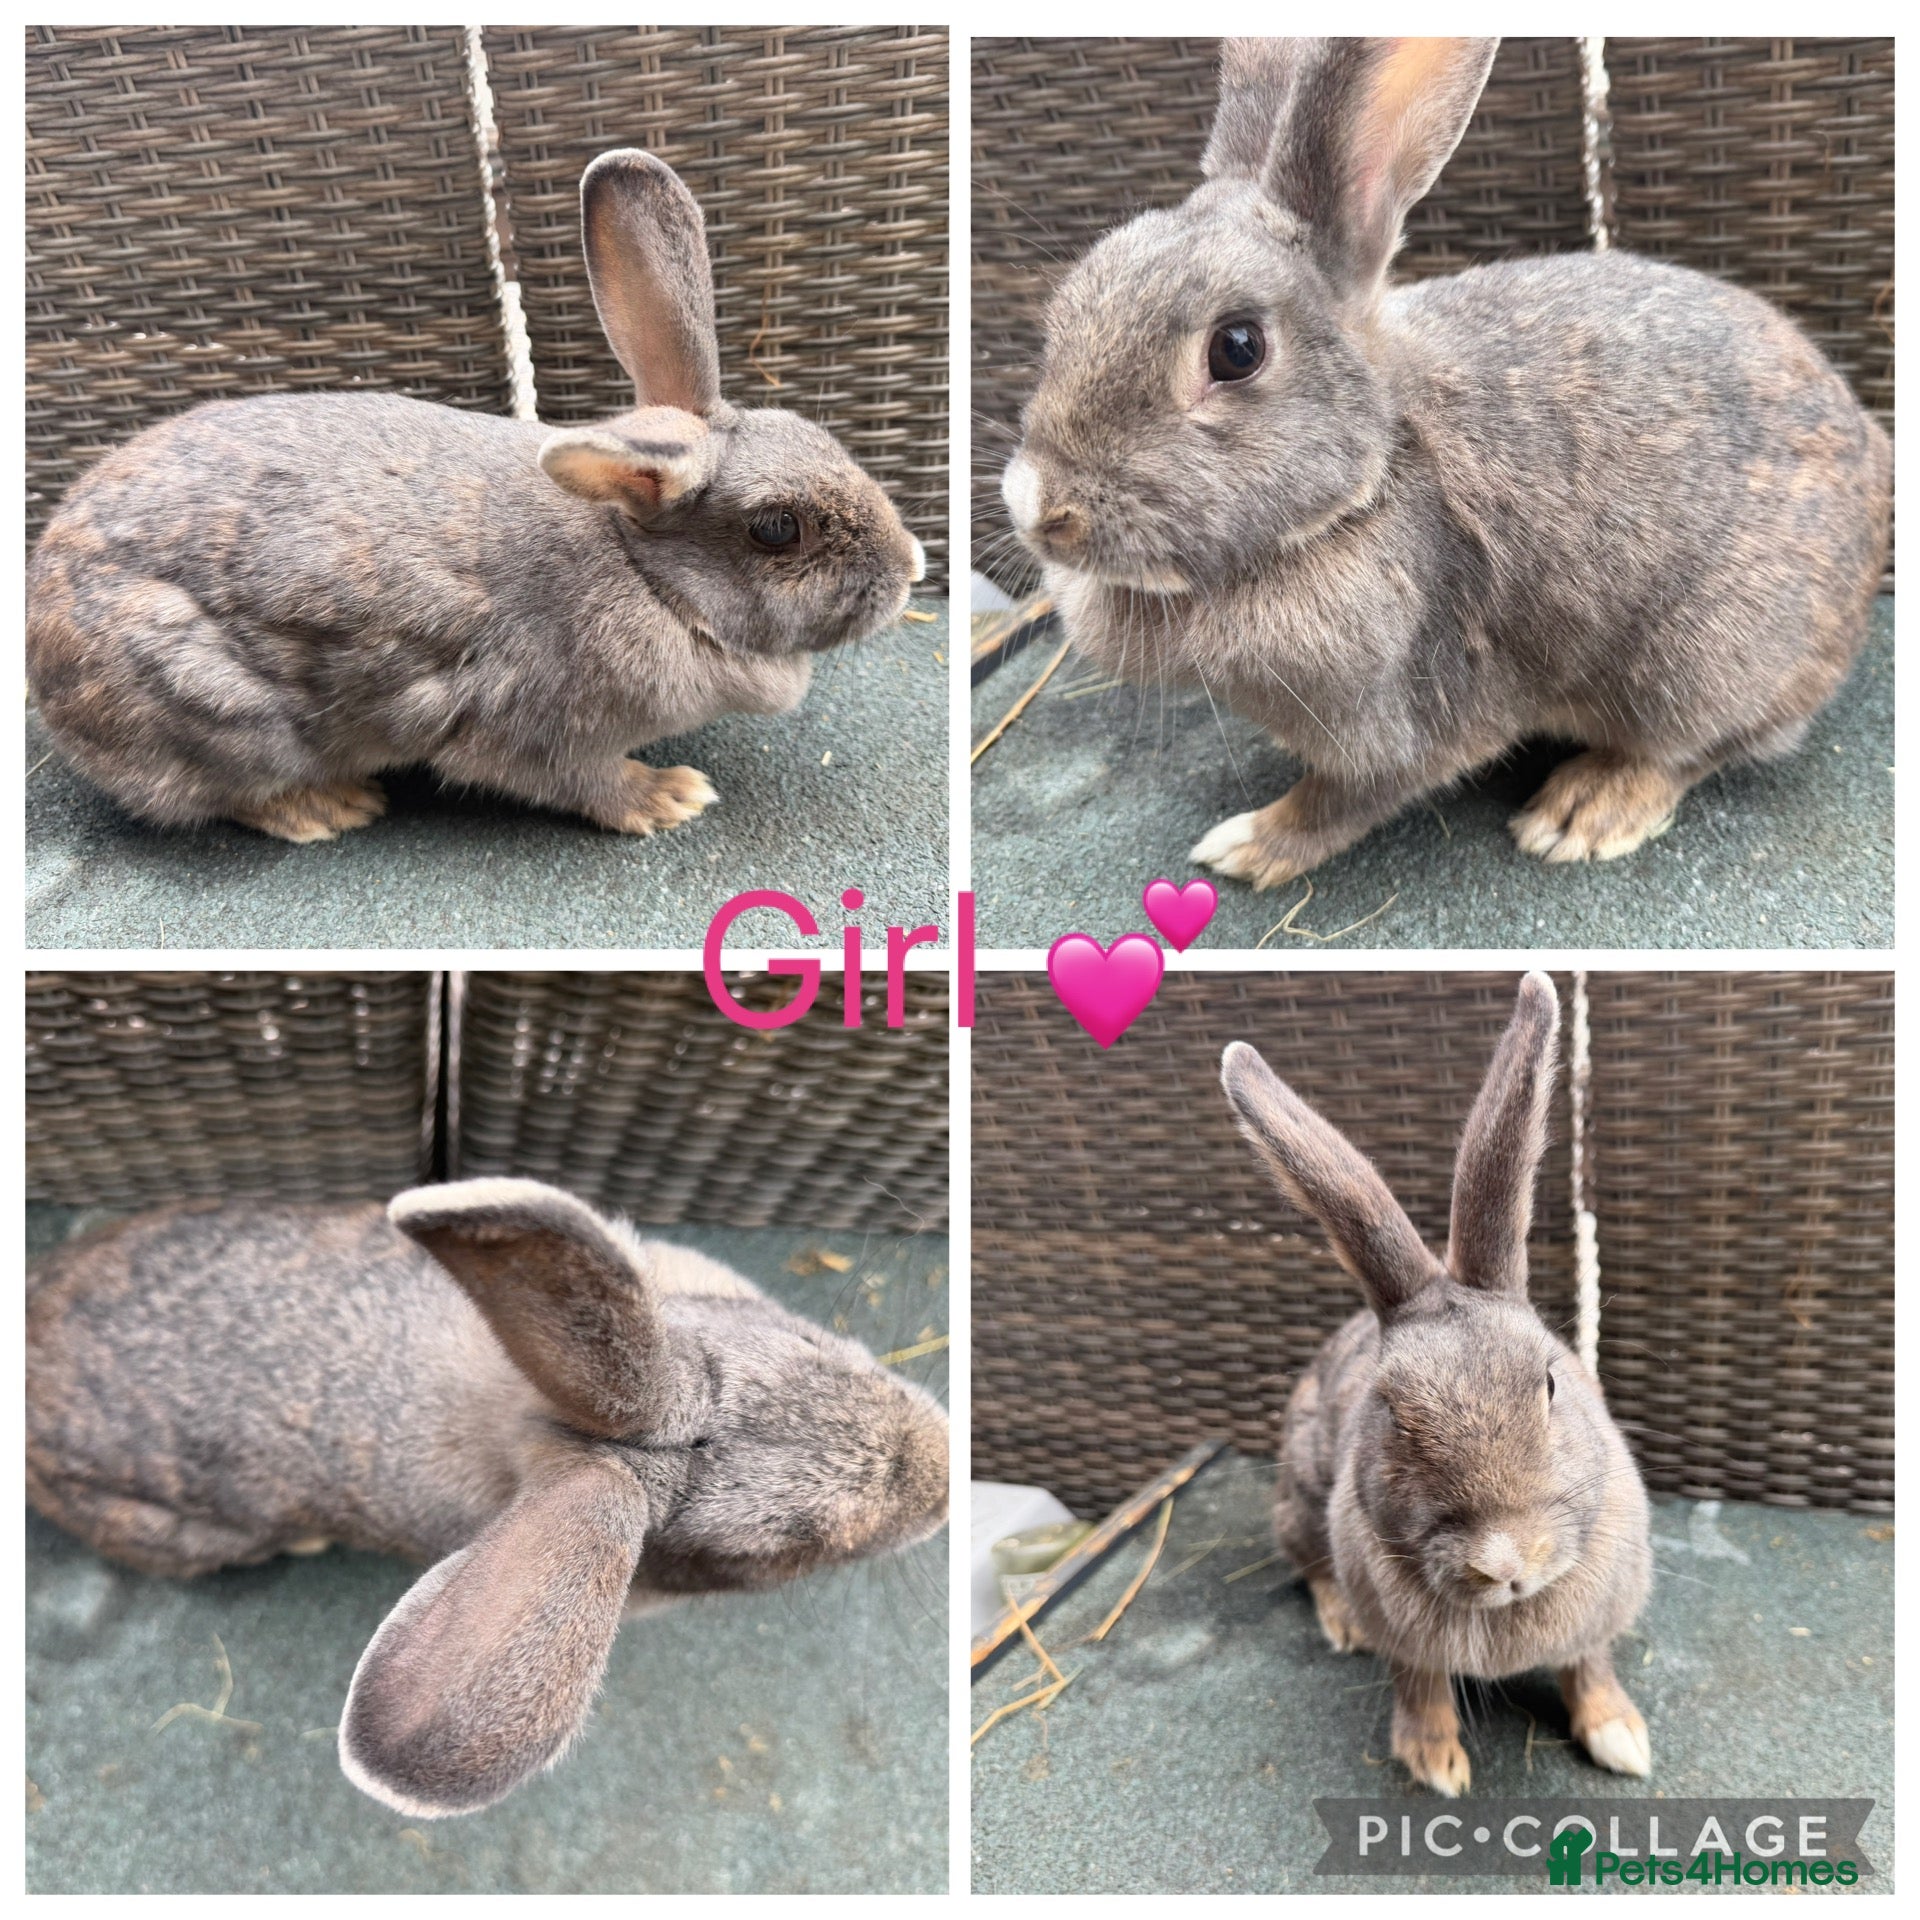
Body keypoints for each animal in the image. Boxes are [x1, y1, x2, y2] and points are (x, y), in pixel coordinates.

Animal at [26, 150, 926, 842]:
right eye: (778, 528)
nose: (912, 568)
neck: (649, 576)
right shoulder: (543, 732)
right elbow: (582, 781)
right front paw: (671, 797)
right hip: (222, 718)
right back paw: (332, 809)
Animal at [1002, 38, 1892, 889]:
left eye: (1237, 348)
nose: (1040, 509)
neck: (1366, 488)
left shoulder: (1407, 719)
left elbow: (1344, 799)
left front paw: (1249, 847)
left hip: (1702, 665)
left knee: (1697, 747)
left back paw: (1583, 811)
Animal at [1219, 972, 1652, 1796]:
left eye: (1550, 1383)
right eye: (1391, 1414)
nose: (1506, 1562)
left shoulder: (1599, 1616)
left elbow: (1590, 1667)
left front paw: (1622, 1740)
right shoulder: (1405, 1638)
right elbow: (1417, 1685)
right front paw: (1435, 1765)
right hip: (1301, 1504)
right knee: (1309, 1568)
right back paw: (1341, 1624)